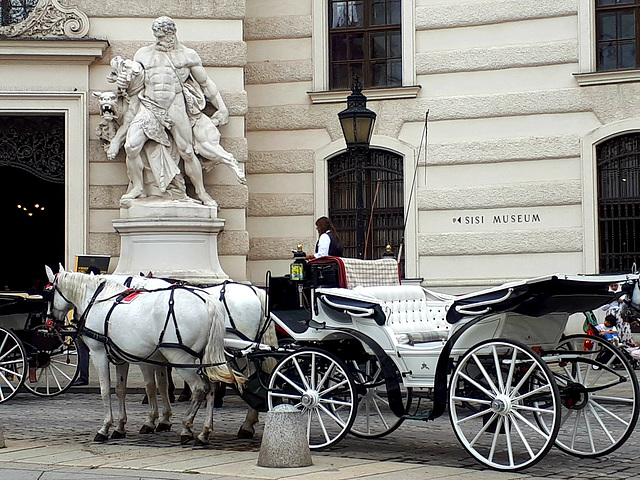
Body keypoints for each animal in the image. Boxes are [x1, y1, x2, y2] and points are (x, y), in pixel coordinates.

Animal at [45, 264, 242, 444]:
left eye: (48, 293)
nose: (49, 321)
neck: (98, 300)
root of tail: (209, 303)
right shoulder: (122, 357)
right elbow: (121, 389)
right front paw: (120, 426)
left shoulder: (100, 353)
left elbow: (106, 390)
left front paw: (105, 427)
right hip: (204, 358)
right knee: (212, 387)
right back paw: (205, 432)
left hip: (180, 357)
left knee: (200, 389)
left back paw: (187, 427)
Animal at [105, 274, 278, 438]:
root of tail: (256, 291)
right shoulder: (161, 354)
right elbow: (162, 383)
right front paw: (164, 418)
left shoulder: (146, 357)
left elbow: (150, 385)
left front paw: (151, 419)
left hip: (240, 353)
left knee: (248, 381)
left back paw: (246, 423)